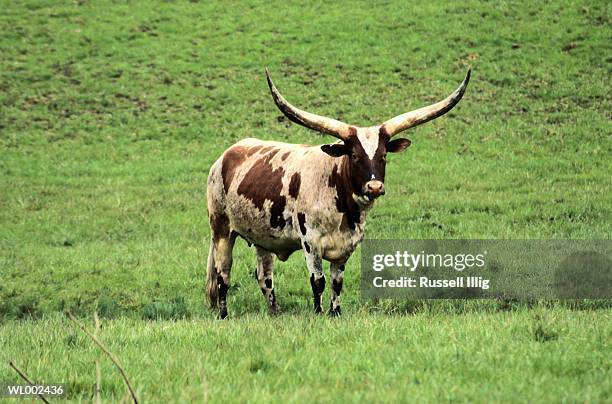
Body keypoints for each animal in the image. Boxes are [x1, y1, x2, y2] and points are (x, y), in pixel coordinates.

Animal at [206, 68, 468, 318]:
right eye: (354, 156)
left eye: (384, 155)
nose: (374, 187)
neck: (343, 207)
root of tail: (225, 156)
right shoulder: (310, 242)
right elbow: (318, 282)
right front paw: (318, 313)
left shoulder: (346, 247)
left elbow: (337, 283)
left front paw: (335, 313)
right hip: (221, 230)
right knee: (222, 275)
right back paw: (223, 314)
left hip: (263, 237)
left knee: (265, 277)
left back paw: (274, 313)